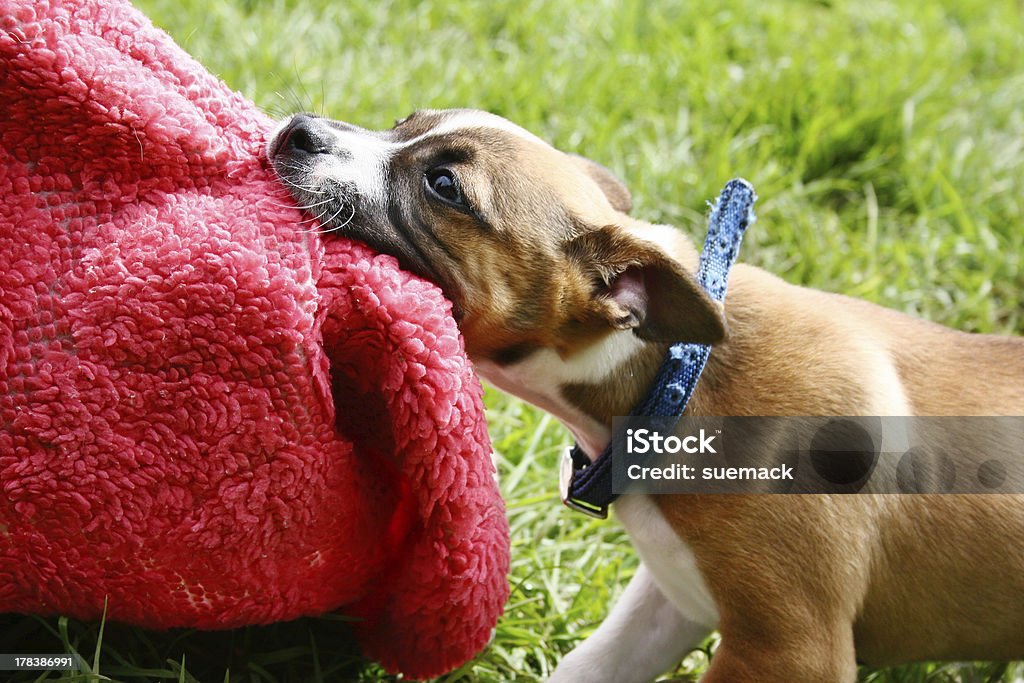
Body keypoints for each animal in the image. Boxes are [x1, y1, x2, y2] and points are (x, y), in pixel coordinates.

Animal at [266, 109, 1024, 679]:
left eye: (445, 185)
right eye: (404, 122)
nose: (298, 130)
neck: (676, 377)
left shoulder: (790, 648)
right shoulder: (668, 601)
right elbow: (586, 667)